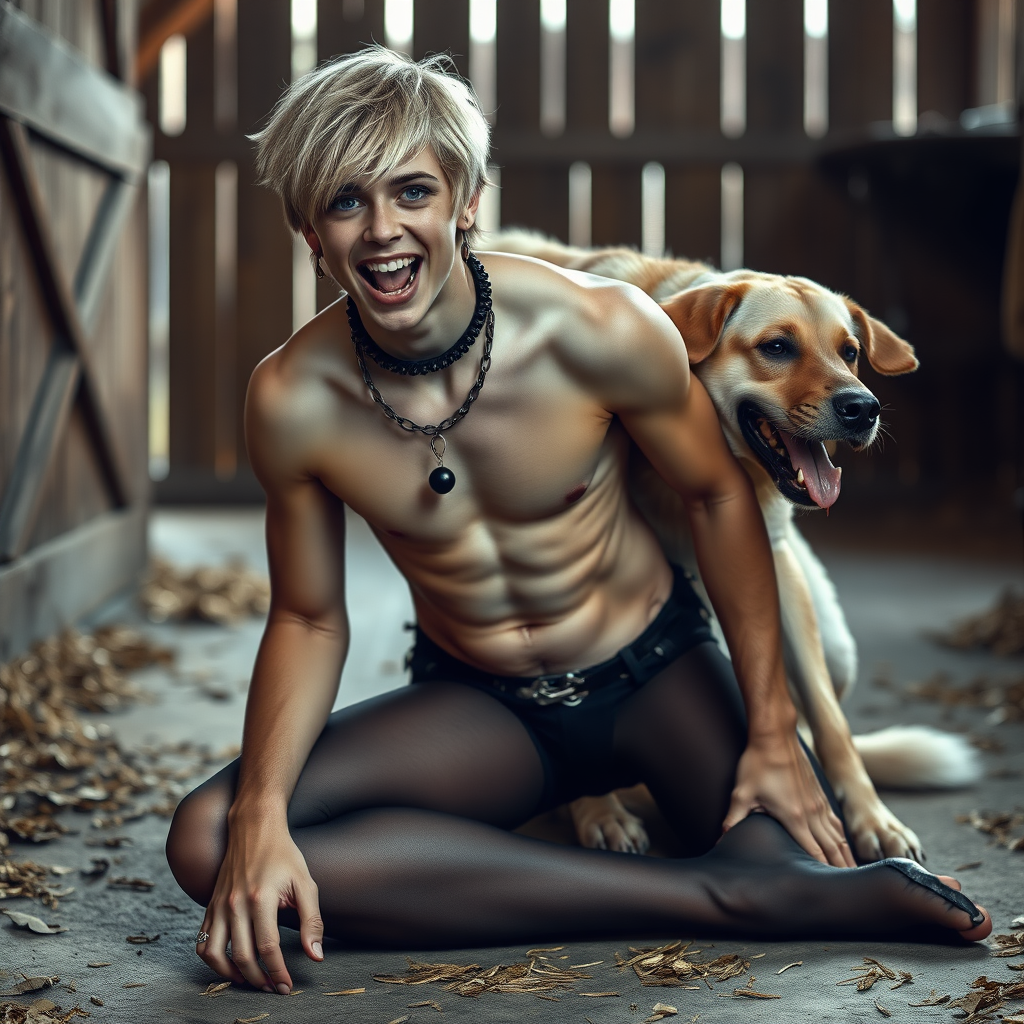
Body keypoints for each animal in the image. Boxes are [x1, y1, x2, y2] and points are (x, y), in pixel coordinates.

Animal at [491, 232, 978, 864]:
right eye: (776, 347)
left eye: (850, 351)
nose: (864, 409)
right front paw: (597, 810)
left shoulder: (776, 567)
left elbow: (828, 720)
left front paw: (872, 818)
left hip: (836, 645)